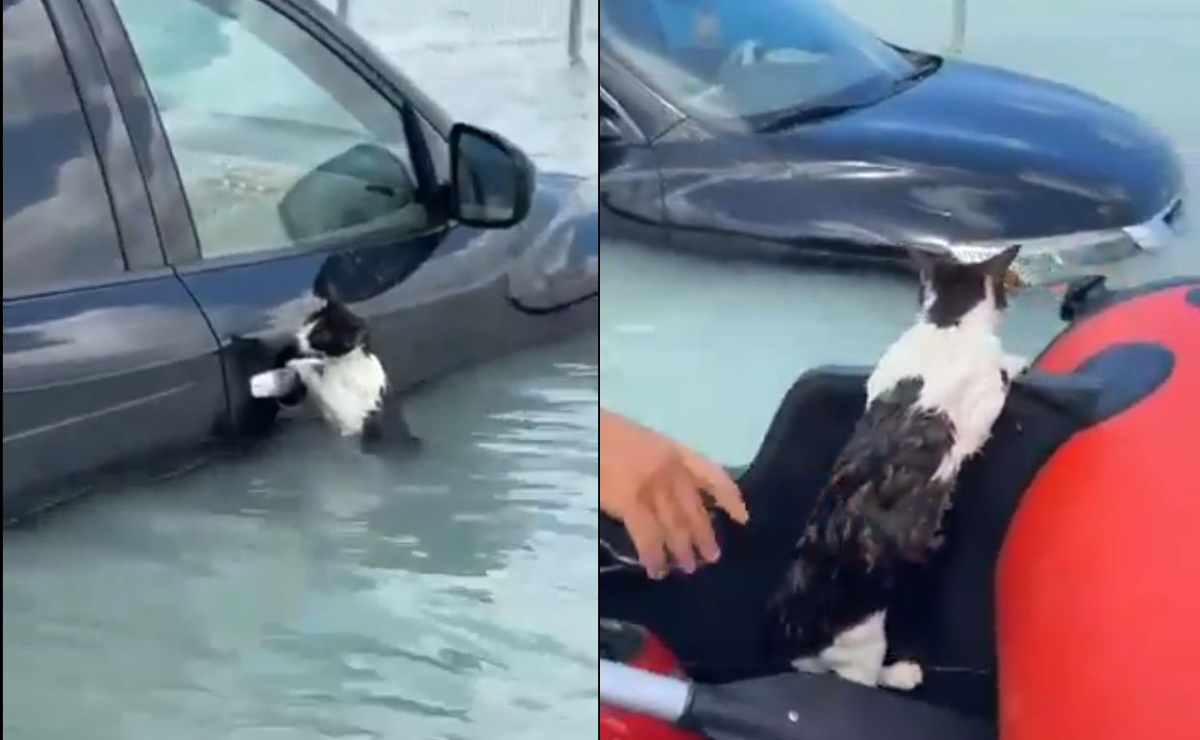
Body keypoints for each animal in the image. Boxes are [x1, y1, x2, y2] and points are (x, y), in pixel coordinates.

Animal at [763, 245, 1027, 690]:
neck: (948, 321)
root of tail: (798, 630)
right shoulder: (985, 405)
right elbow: (1001, 375)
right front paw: (1018, 359)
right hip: (866, 642)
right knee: (865, 678)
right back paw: (902, 674)